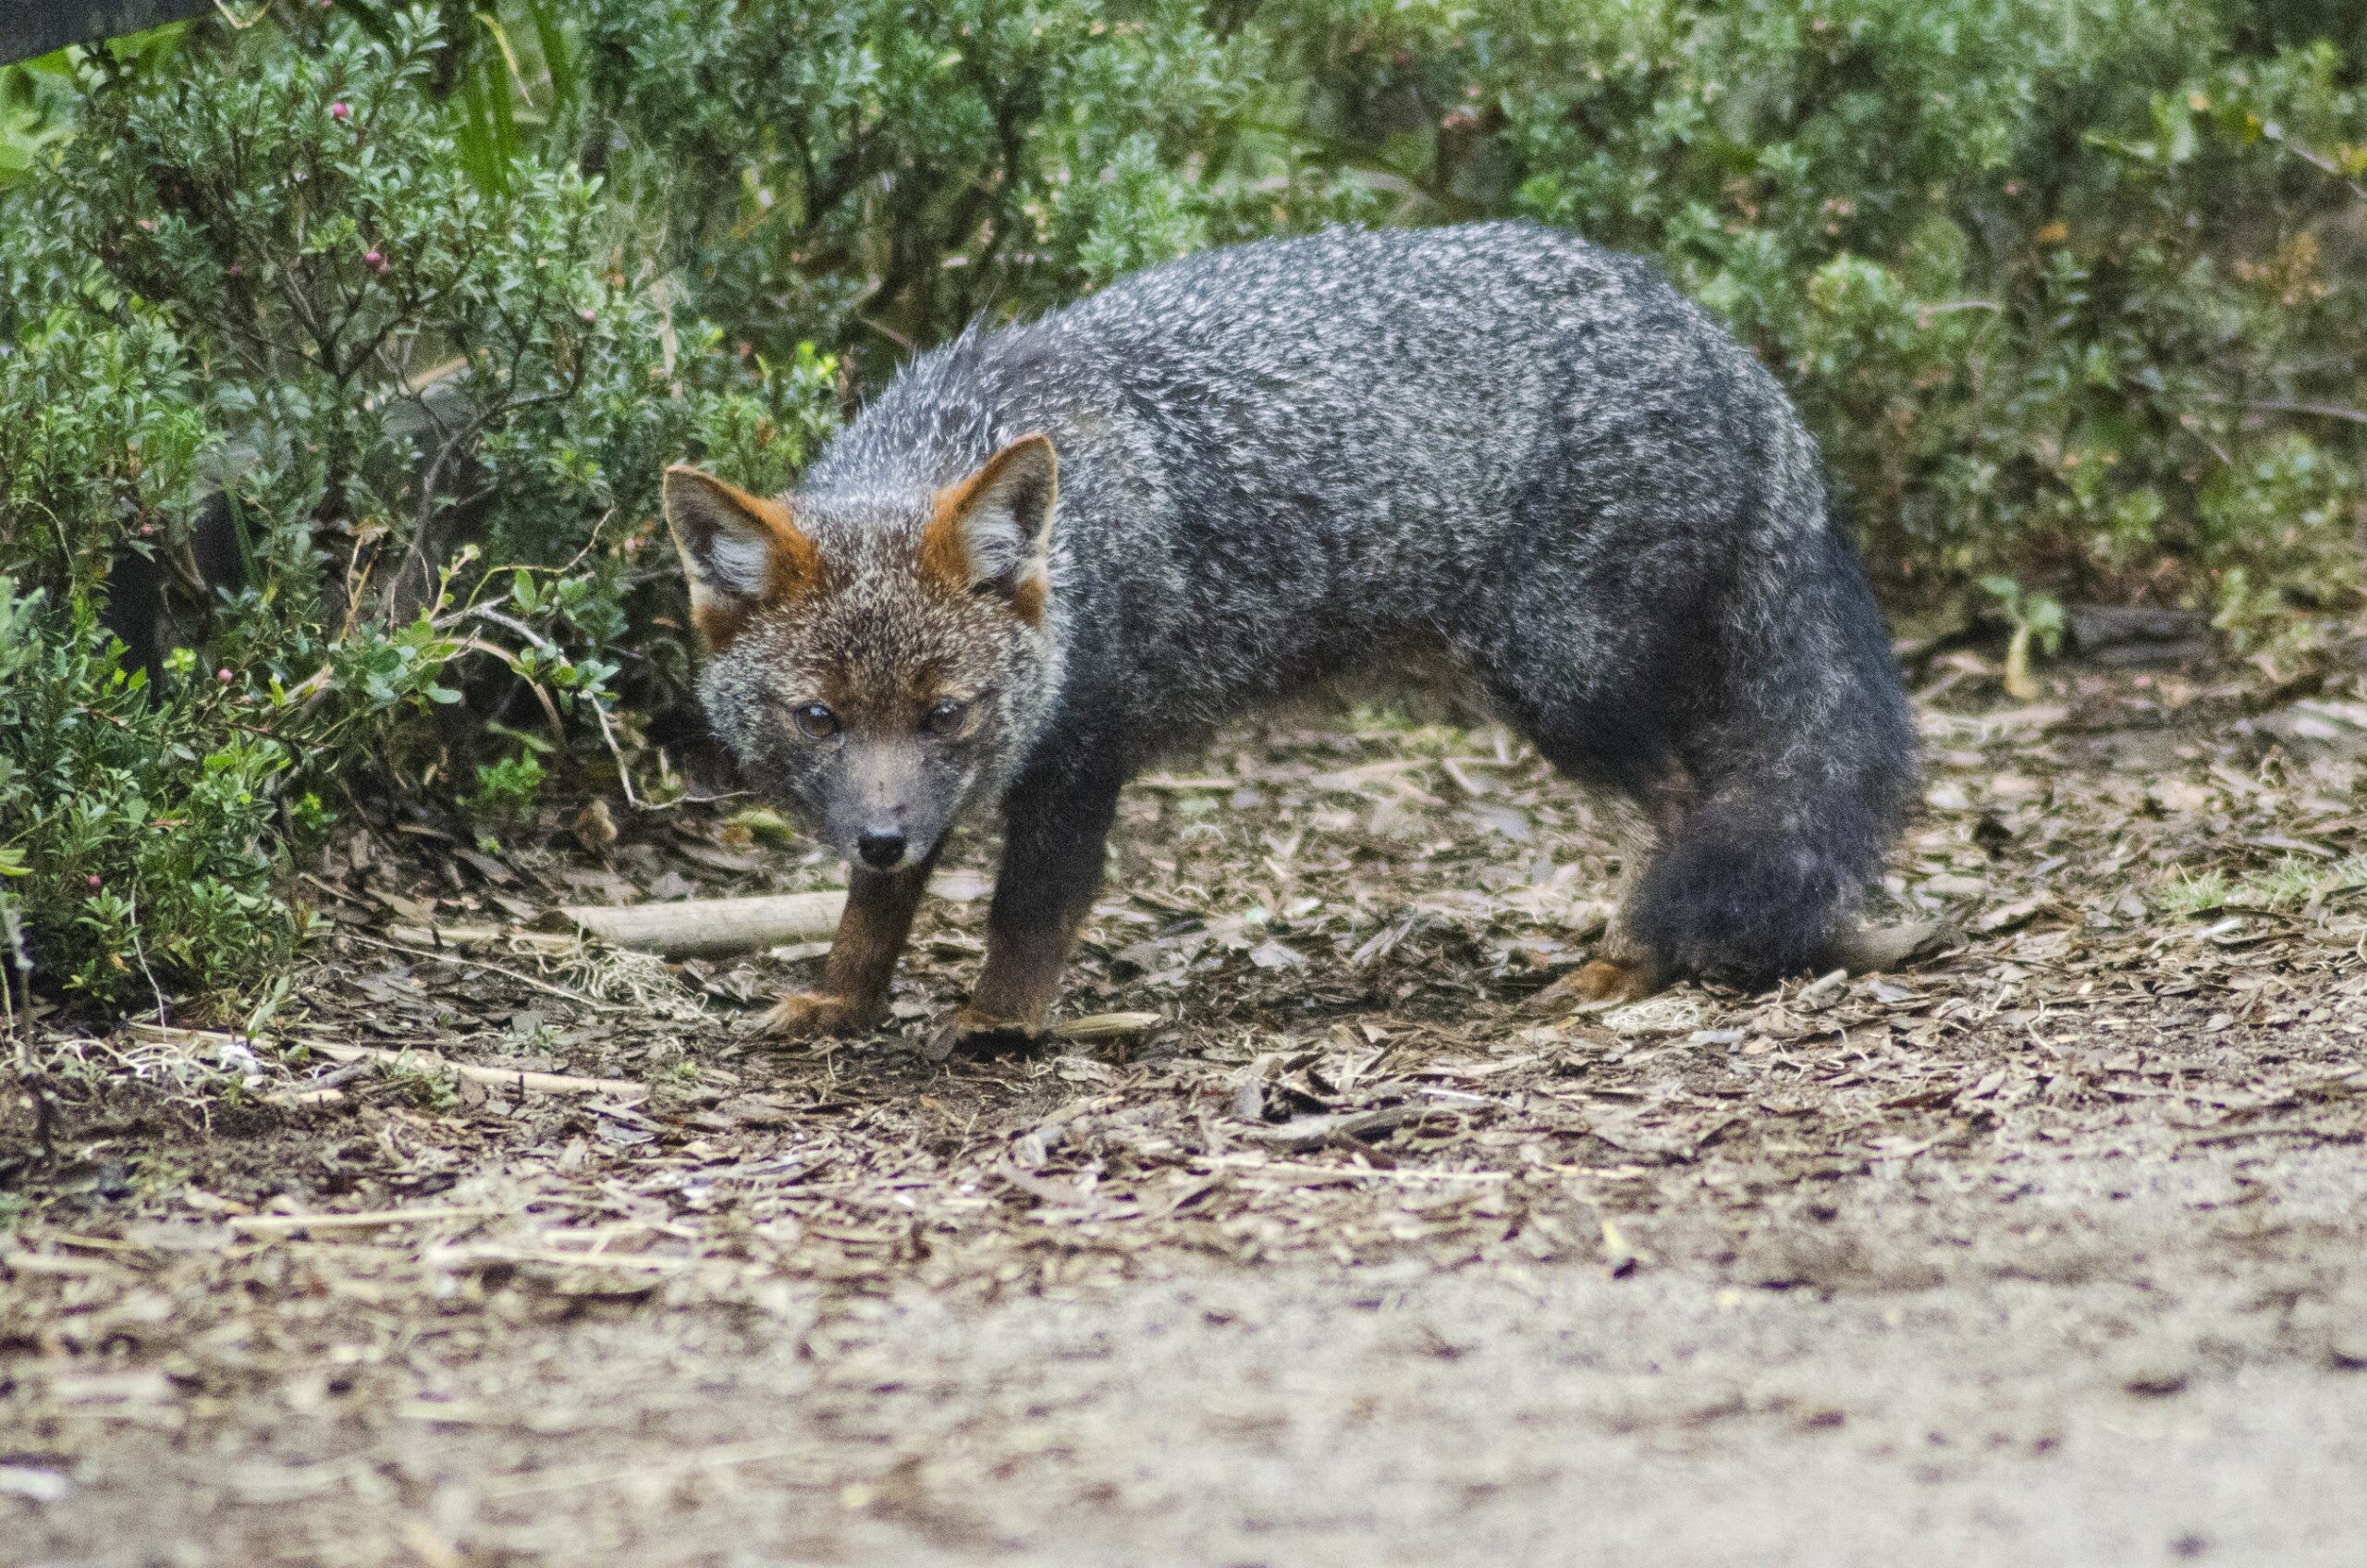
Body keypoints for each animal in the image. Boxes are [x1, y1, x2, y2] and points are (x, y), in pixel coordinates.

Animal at [657, 221, 1912, 1051]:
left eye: (946, 711)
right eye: (819, 717)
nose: (875, 835)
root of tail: (1726, 347)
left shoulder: (1082, 753)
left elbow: (1029, 910)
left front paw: (1000, 1024)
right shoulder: (930, 797)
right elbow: (877, 910)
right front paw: (845, 997)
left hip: (1557, 683)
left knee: (1682, 802)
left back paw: (1625, 961)